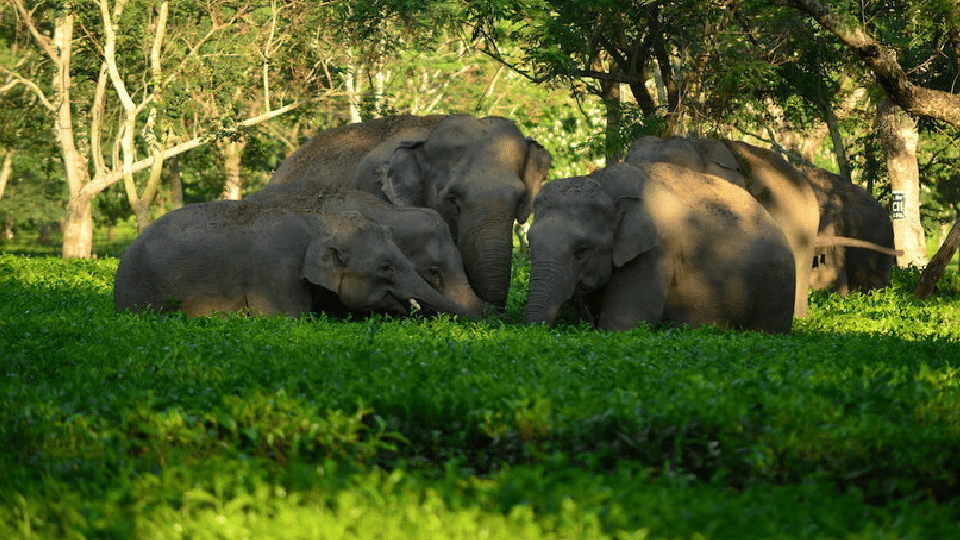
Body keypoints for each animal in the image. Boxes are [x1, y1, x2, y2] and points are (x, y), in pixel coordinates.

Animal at [525, 161, 796, 334]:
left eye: (582, 250)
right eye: (529, 241)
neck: (606, 184)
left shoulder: (656, 253)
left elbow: (623, 325)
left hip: (778, 284)